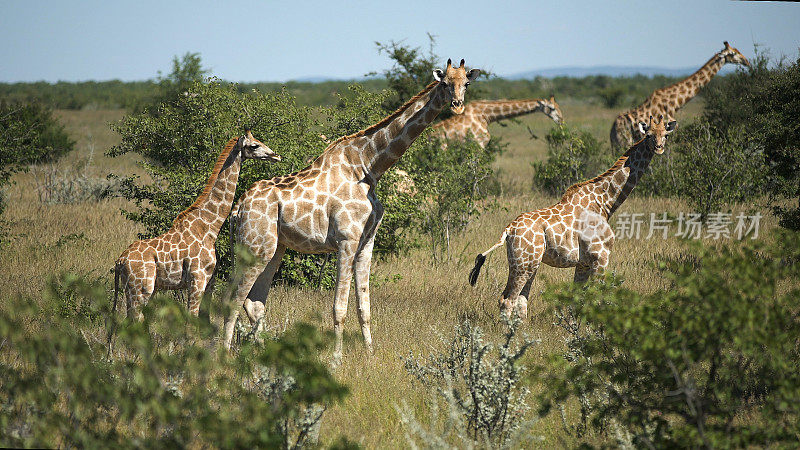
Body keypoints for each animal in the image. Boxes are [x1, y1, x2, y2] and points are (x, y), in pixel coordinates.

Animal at [113, 130, 282, 320]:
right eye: (254, 145)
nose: (276, 156)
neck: (209, 226)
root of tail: (120, 261)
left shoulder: (210, 280)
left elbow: (204, 319)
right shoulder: (197, 278)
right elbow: (191, 319)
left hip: (136, 290)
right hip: (141, 289)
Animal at [222, 59, 478, 362]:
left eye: (466, 83)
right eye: (445, 83)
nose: (458, 106)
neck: (370, 167)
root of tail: (238, 208)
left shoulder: (367, 241)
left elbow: (364, 306)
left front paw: (370, 354)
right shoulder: (346, 239)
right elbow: (339, 308)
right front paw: (336, 360)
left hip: (273, 249)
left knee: (254, 302)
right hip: (253, 247)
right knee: (233, 299)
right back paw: (219, 355)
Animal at [432, 96, 564, 149]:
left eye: (558, 106)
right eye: (552, 108)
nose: (561, 120)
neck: (486, 116)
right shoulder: (480, 143)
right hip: (442, 147)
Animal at [468, 116, 676, 320]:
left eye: (665, 134)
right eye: (648, 135)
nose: (659, 148)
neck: (604, 202)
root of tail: (508, 230)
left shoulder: (583, 263)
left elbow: (577, 299)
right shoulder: (601, 256)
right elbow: (599, 298)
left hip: (527, 263)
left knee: (520, 299)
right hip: (524, 264)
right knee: (507, 300)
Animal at [608, 41, 748, 149]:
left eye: (737, 50)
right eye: (733, 53)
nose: (746, 61)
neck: (674, 103)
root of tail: (613, 130)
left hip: (617, 145)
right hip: (624, 142)